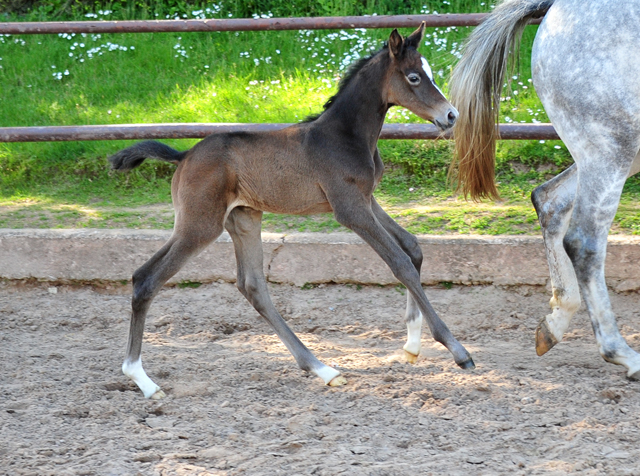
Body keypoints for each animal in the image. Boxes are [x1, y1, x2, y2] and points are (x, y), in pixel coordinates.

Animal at [109, 24, 476, 400]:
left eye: (430, 73)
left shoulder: (367, 200)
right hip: (200, 225)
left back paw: (323, 369)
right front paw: (458, 351)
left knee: (252, 286)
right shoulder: (350, 209)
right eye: (414, 77)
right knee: (146, 279)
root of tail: (183, 156)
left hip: (242, 219)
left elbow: (413, 248)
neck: (345, 136)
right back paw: (143, 380)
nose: (450, 115)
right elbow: (400, 263)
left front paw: (412, 346)